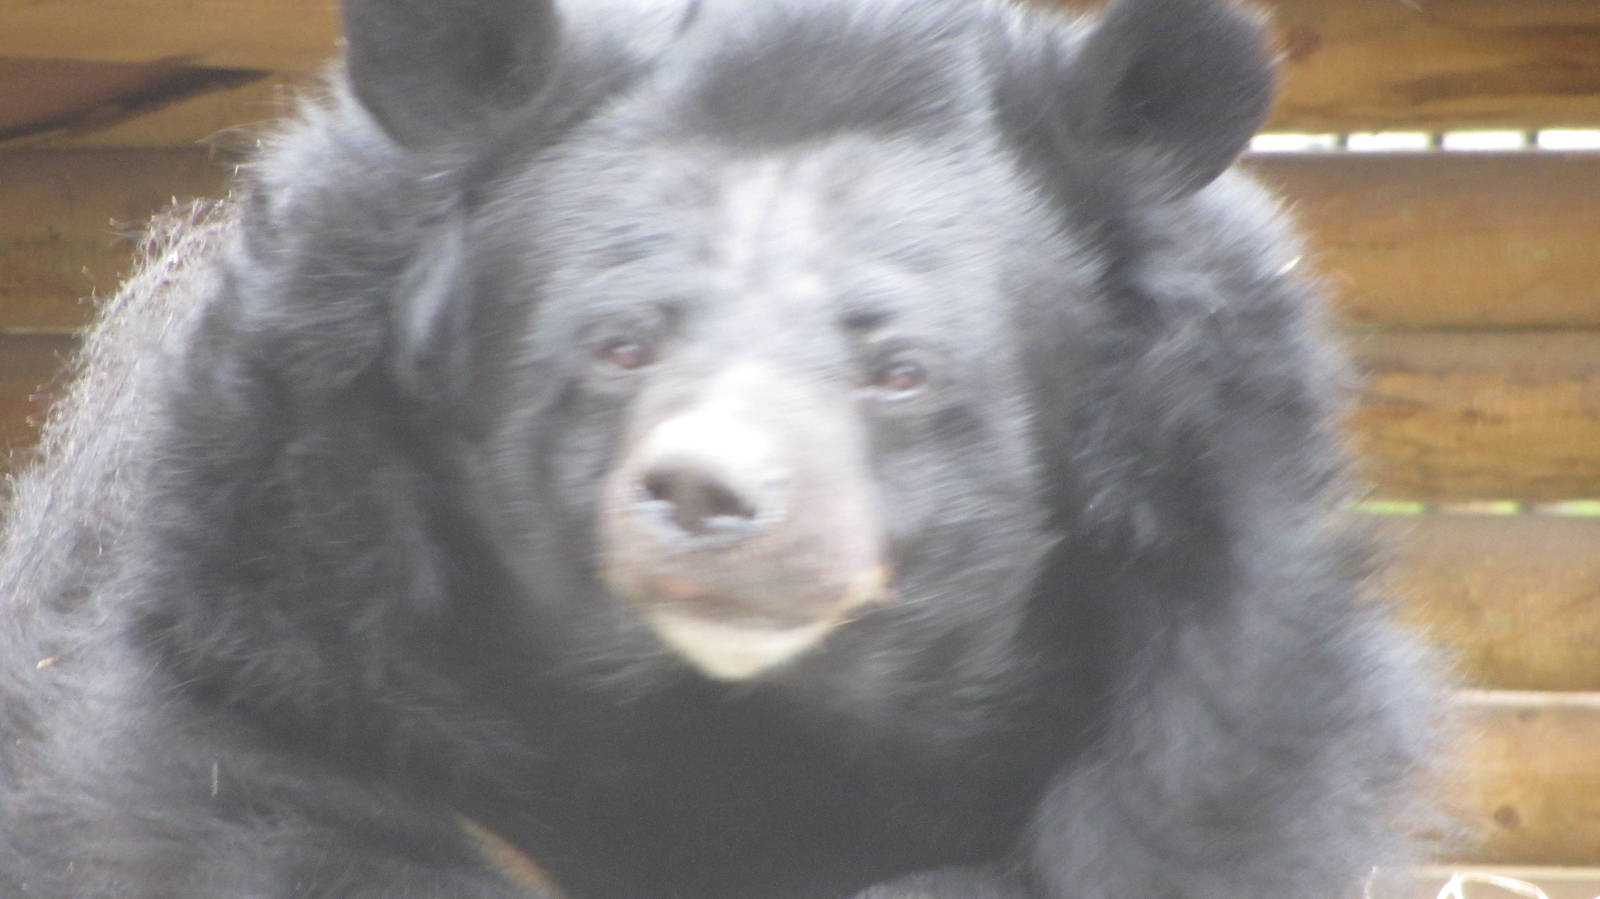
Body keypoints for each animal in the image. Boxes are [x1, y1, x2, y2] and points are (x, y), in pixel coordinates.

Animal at [0, 0, 1437, 896]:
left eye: (899, 369)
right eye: (620, 343)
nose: (708, 493)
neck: (728, 726)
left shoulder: (1206, 726)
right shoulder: (273, 661)